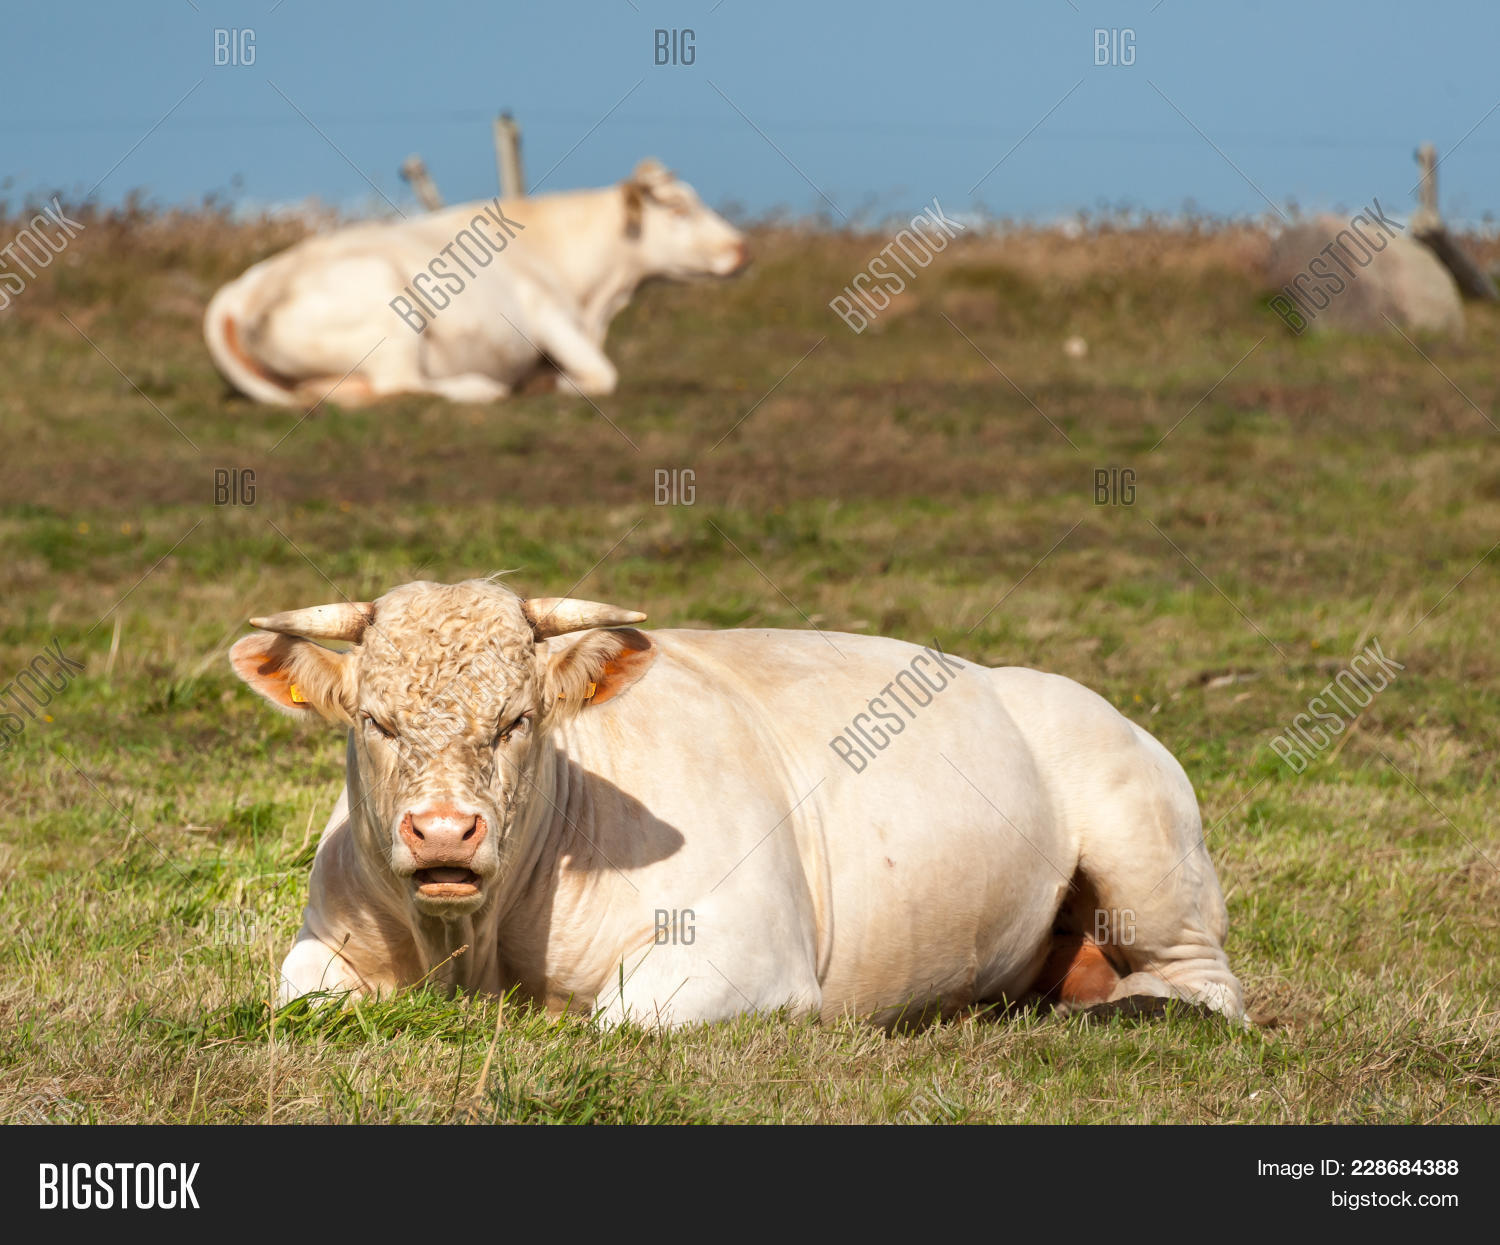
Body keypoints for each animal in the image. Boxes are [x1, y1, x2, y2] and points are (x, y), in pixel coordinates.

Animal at [203, 160, 748, 406]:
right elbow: (603, 376)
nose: (743, 248)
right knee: (401, 385)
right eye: (678, 209)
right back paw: (481, 387)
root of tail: (239, 292)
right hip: (391, 315)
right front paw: (556, 384)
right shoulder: (548, 316)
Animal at [229, 578, 1246, 1028]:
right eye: (376, 719)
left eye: (519, 719)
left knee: (1205, 983)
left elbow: (621, 1015)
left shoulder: (745, 949)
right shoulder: (325, 943)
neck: (478, 947)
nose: (444, 830)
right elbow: (303, 997)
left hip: (1145, 851)